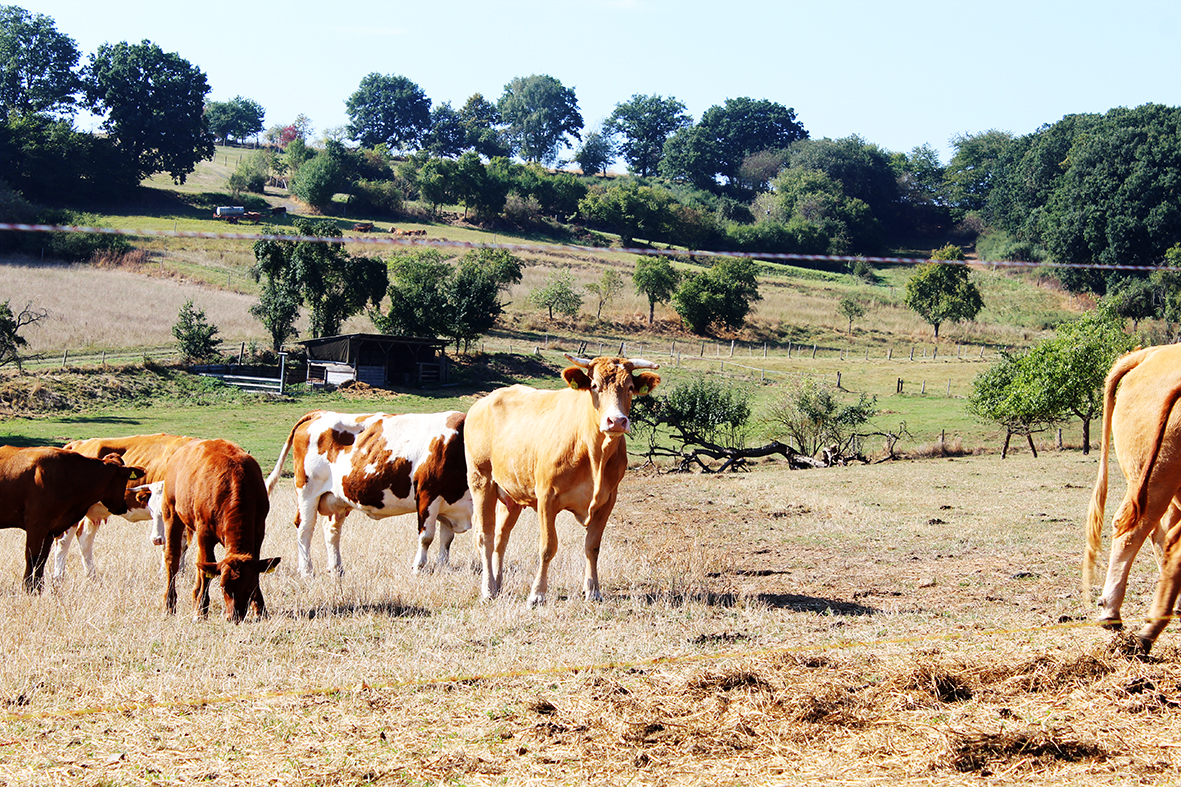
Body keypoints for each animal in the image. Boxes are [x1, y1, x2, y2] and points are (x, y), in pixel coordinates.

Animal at [0, 446, 144, 588]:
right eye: (125, 480)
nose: (123, 507)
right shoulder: (36, 526)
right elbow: (32, 558)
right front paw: (28, 588)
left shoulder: (50, 530)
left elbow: (42, 560)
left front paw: (38, 588)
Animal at [52, 430, 196, 576]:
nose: (156, 539)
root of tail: (77, 443)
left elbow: (182, 544)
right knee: (63, 541)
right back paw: (58, 576)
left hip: (94, 511)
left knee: (84, 539)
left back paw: (91, 575)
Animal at [162, 434, 279, 619]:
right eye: (223, 587)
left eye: (249, 587)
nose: (234, 616)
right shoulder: (204, 532)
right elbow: (206, 571)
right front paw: (200, 611)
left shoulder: (259, 530)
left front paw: (260, 609)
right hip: (170, 512)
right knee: (172, 558)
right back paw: (169, 604)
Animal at [465, 352, 661, 602]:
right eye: (594, 386)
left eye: (629, 388)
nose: (616, 421)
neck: (594, 454)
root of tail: (485, 400)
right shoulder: (547, 497)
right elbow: (548, 546)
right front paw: (538, 593)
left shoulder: (607, 501)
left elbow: (592, 546)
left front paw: (593, 589)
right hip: (480, 481)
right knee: (485, 536)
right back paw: (488, 587)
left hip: (511, 495)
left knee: (501, 537)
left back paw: (498, 583)